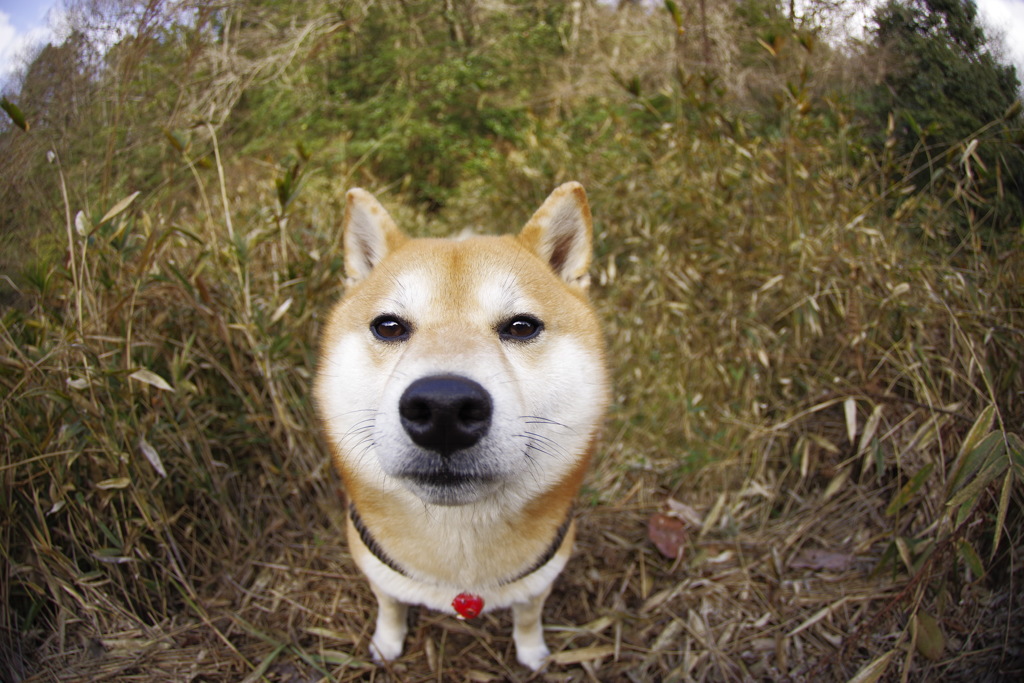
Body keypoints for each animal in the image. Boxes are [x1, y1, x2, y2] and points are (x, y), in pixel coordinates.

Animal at [313, 183, 606, 671]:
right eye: (388, 327)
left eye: (521, 327)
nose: (444, 408)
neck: (459, 570)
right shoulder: (378, 573)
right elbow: (390, 607)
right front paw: (387, 644)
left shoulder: (540, 581)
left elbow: (528, 618)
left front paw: (532, 653)